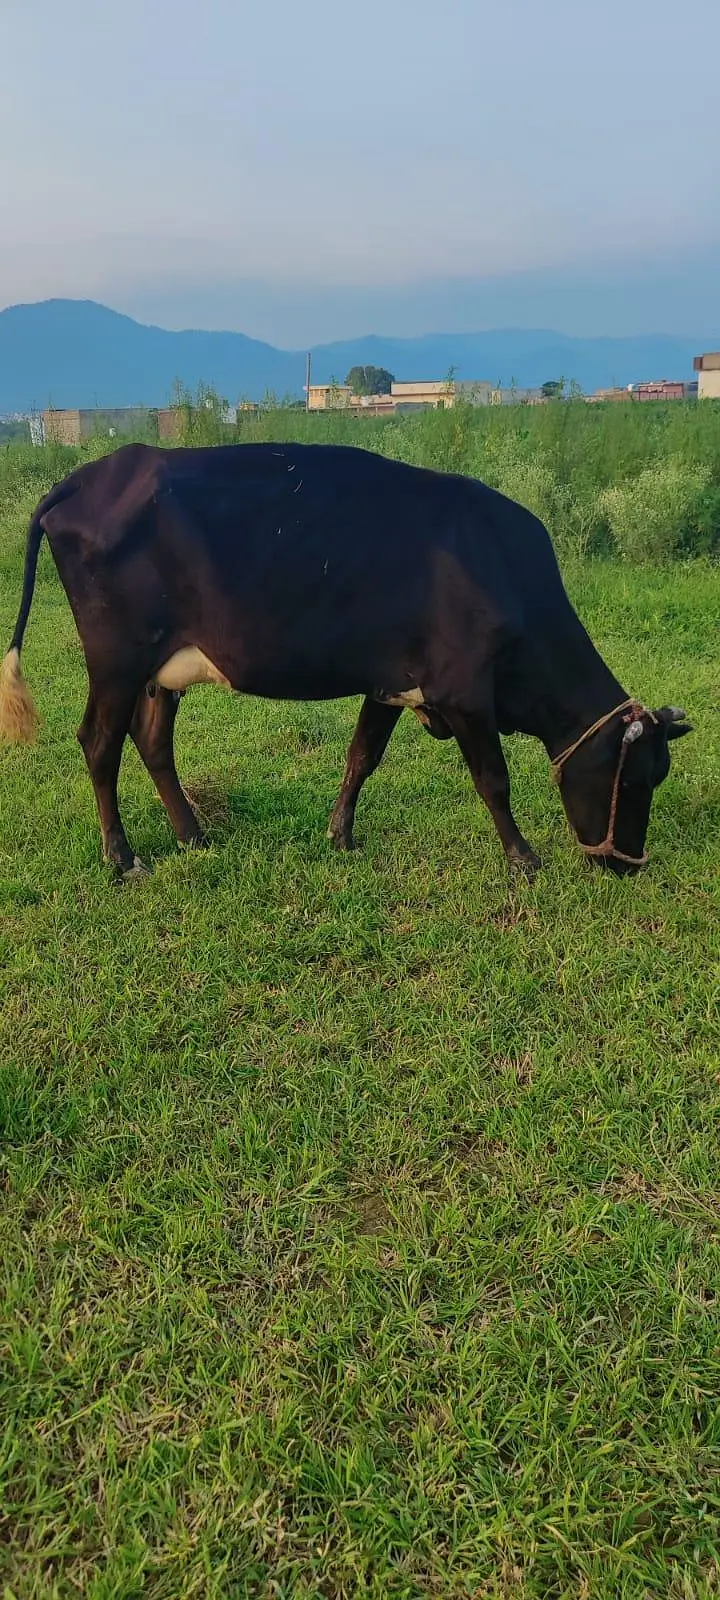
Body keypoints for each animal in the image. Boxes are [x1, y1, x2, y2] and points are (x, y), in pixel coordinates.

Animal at [0, 441, 692, 880]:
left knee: (151, 741)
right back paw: (121, 858)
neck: (501, 568)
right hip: (116, 660)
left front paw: (340, 835)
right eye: (636, 779)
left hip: (159, 670)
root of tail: (94, 474)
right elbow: (494, 778)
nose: (625, 865)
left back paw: (193, 835)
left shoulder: (392, 683)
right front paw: (522, 856)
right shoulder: (465, 689)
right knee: (98, 742)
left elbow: (362, 757)